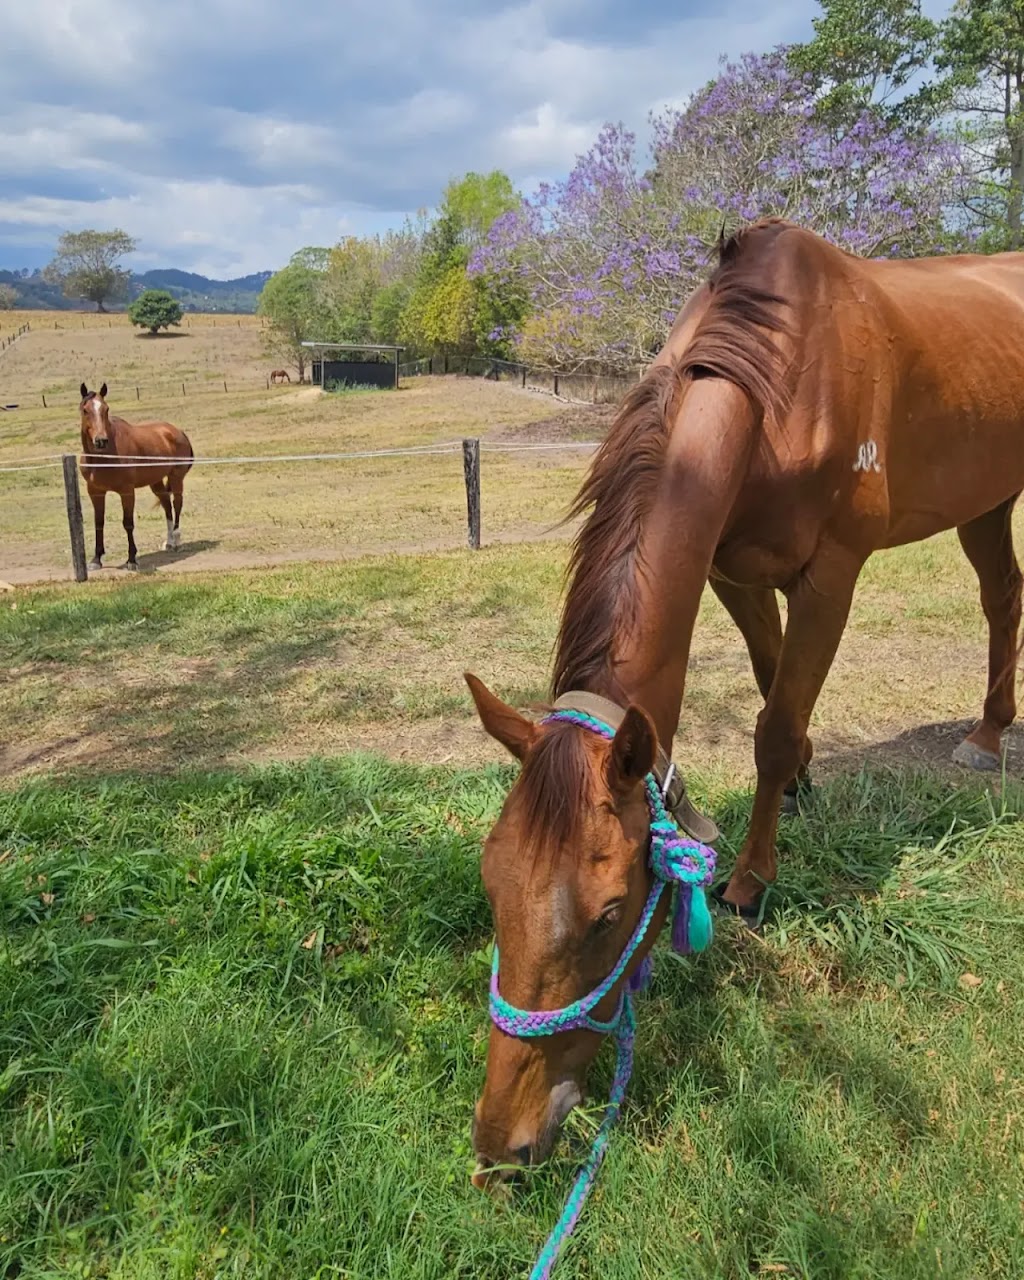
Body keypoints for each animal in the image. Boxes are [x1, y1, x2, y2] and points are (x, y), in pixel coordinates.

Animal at [78, 382, 194, 572]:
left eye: (106, 409)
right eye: (85, 410)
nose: (101, 441)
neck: (104, 457)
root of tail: (178, 431)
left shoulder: (126, 491)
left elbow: (128, 523)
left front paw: (132, 559)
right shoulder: (95, 492)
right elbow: (99, 523)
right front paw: (96, 559)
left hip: (176, 477)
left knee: (177, 504)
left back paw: (177, 540)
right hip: (156, 481)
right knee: (167, 505)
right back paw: (169, 542)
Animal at [464, 218, 1024, 1188]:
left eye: (610, 912)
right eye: (493, 881)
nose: (506, 1144)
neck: (780, 381)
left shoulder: (832, 574)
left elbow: (775, 723)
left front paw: (753, 880)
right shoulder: (732, 569)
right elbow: (772, 691)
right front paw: (796, 786)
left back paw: (990, 738)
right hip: (985, 500)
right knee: (1004, 594)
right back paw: (989, 730)